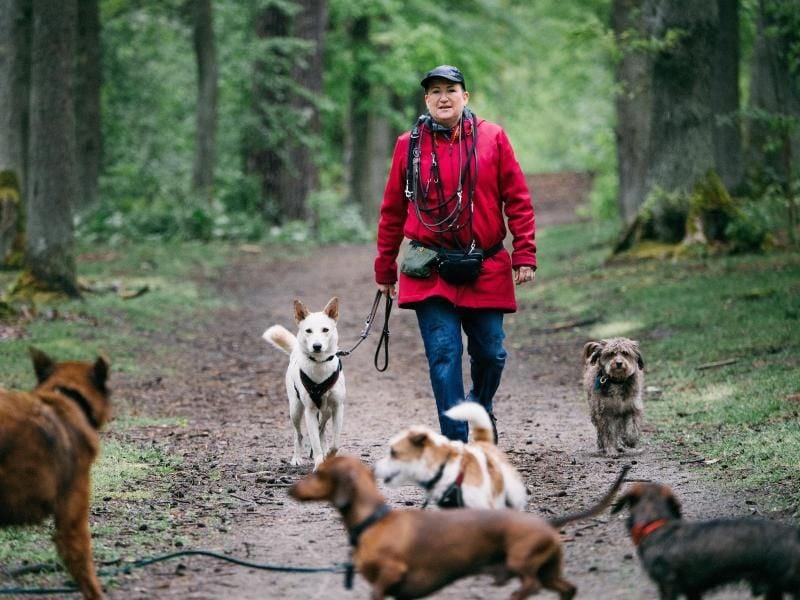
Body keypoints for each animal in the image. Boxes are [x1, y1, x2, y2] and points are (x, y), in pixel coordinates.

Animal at [262, 298, 344, 472]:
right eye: (308, 331)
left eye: (325, 330)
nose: (317, 346)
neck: (320, 364)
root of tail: (295, 352)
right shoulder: (310, 411)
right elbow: (314, 442)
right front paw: (319, 464)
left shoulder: (338, 407)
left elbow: (335, 443)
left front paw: (329, 455)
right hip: (295, 409)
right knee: (299, 434)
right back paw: (297, 458)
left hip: (326, 412)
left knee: (321, 430)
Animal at [290, 454, 632, 600]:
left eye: (318, 474)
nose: (290, 489)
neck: (375, 519)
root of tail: (546, 523)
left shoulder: (390, 576)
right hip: (549, 570)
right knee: (565, 588)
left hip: (522, 561)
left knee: (530, 586)